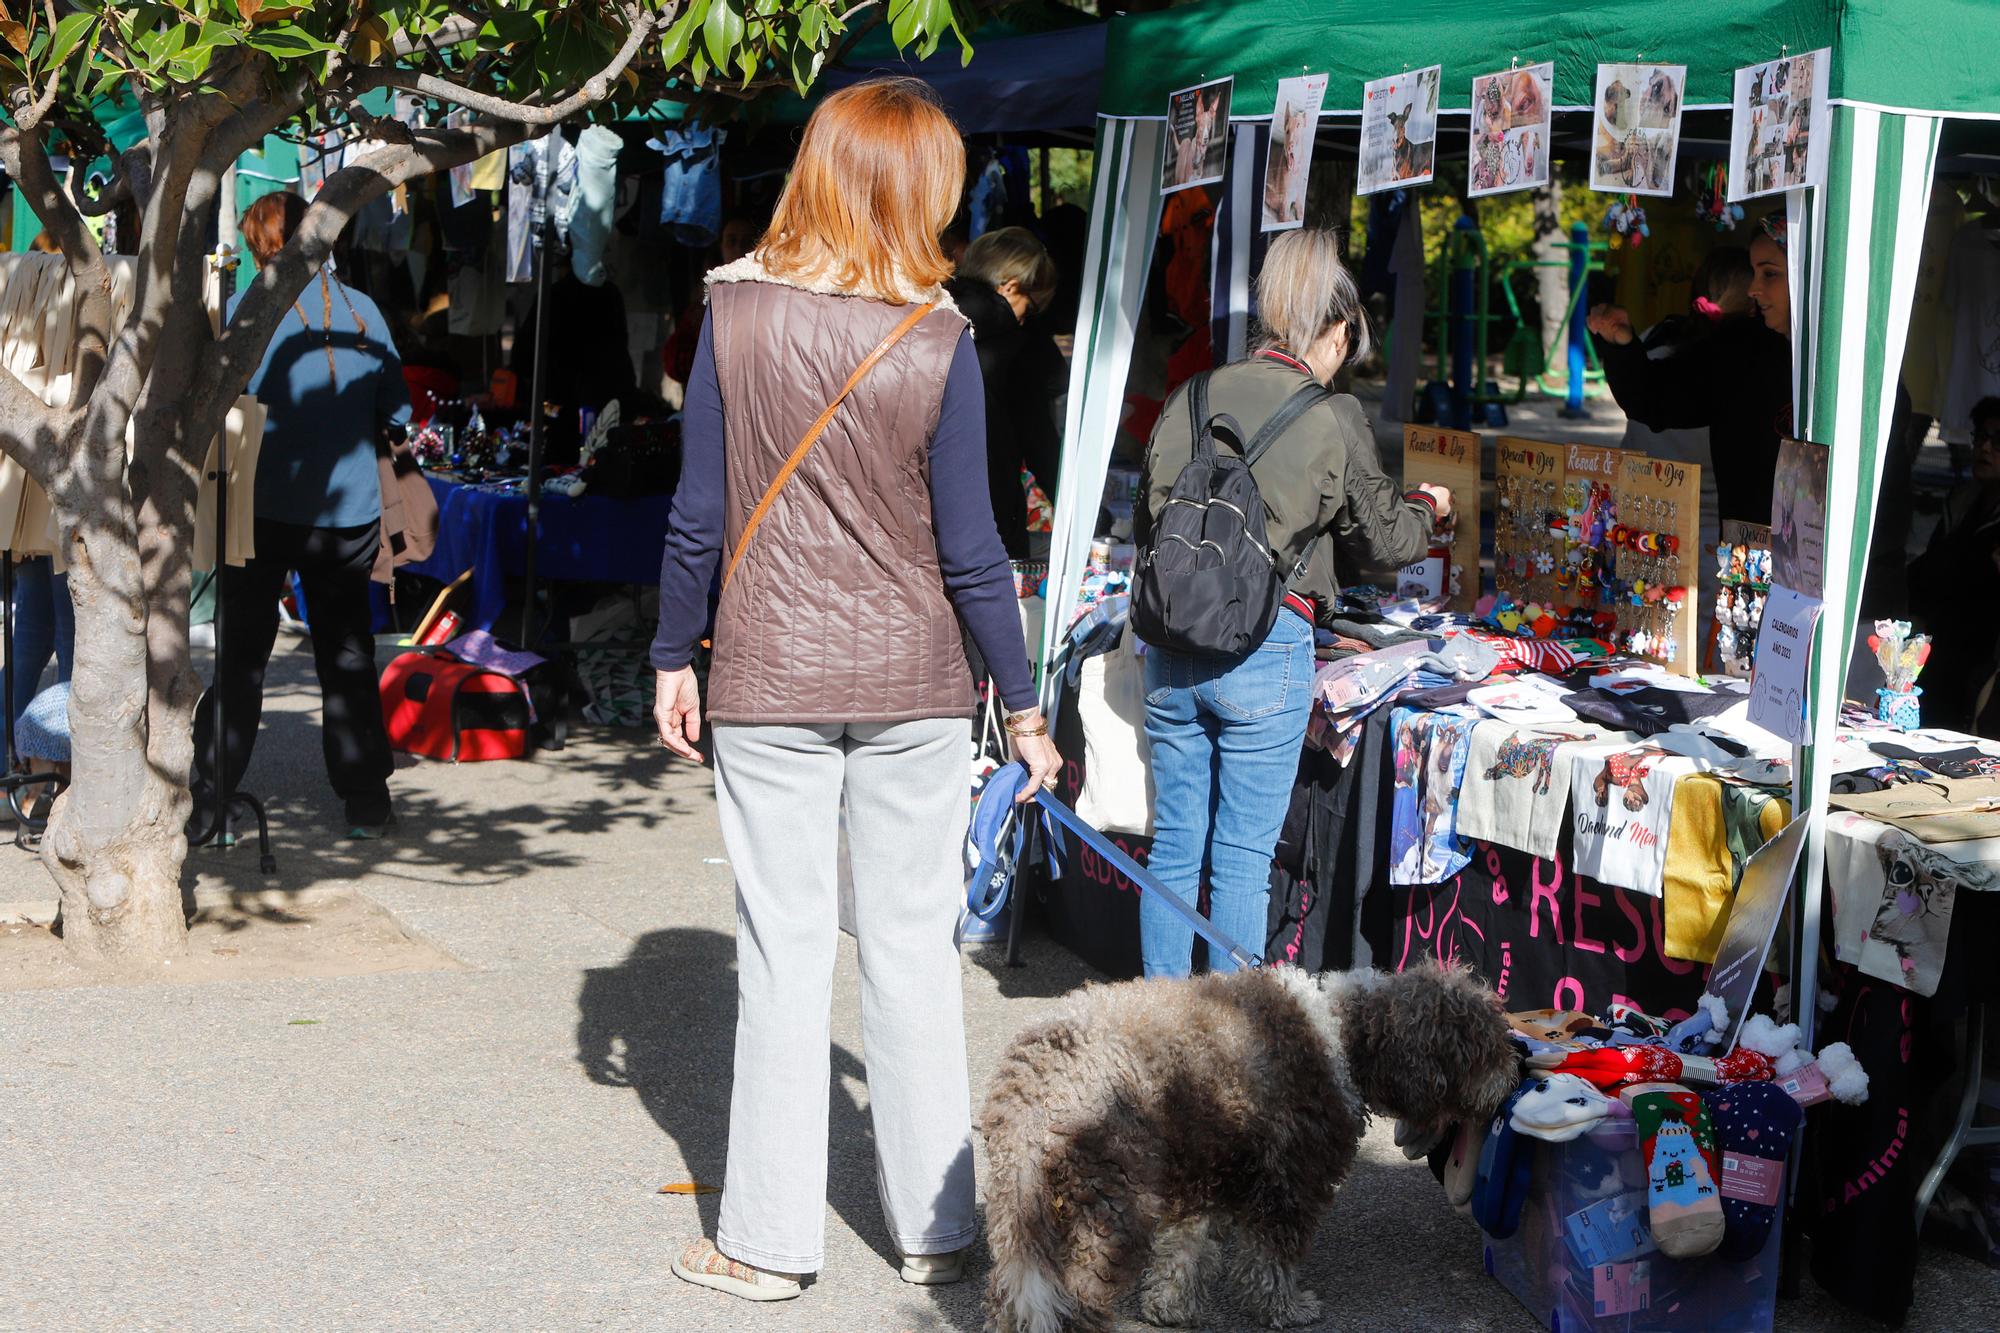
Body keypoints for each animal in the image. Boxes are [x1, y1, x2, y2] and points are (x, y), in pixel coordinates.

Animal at [980, 960, 1512, 1320]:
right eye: (1485, 1047)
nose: (1516, 1071)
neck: (1342, 1033)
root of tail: (1038, 1072)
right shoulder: (1291, 1179)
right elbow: (1269, 1258)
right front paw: (1285, 1309)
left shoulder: (1204, 1166)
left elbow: (1185, 1247)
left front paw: (1171, 1307)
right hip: (1105, 1206)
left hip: (1023, 1210)